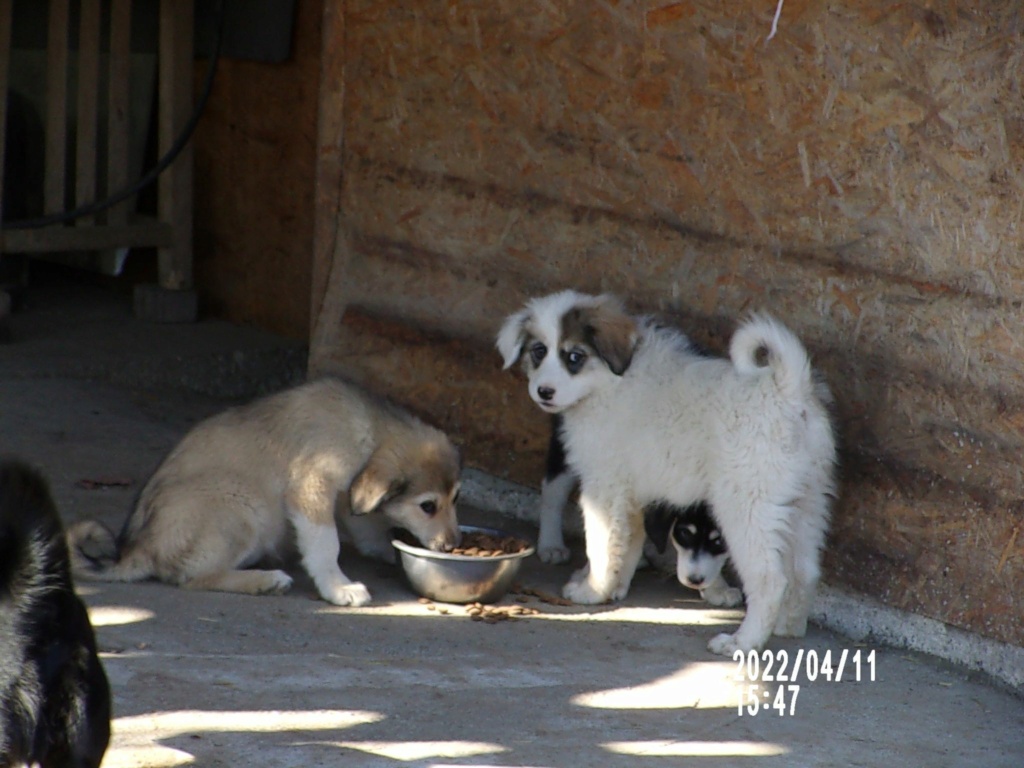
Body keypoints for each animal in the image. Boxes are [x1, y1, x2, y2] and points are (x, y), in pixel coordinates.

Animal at [67, 378, 460, 606]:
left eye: (455, 499)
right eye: (428, 506)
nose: (453, 545)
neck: (369, 429)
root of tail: (138, 549)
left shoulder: (345, 495)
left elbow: (364, 526)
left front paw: (384, 550)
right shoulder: (311, 488)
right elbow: (326, 545)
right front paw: (337, 588)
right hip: (242, 508)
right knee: (193, 579)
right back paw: (265, 581)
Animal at [497, 290, 839, 655]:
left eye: (574, 356)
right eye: (538, 351)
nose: (544, 392)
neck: (608, 382)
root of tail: (787, 389)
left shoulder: (605, 487)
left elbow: (600, 543)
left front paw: (592, 590)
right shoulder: (632, 492)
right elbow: (625, 543)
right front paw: (612, 585)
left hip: (747, 507)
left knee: (770, 579)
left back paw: (742, 642)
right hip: (807, 503)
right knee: (805, 571)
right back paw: (789, 626)